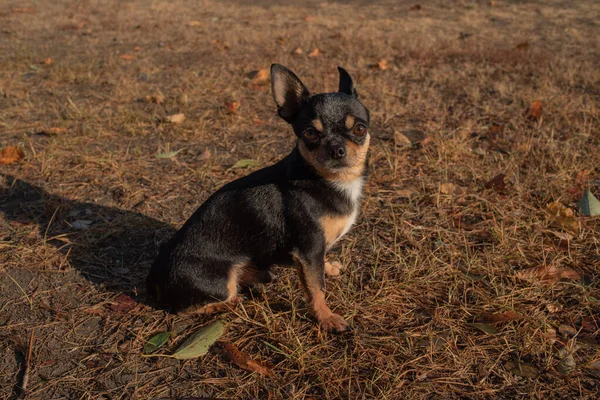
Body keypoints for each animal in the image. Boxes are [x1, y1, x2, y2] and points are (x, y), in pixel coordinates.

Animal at [146, 64, 370, 332]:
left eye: (359, 128)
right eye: (309, 133)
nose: (336, 148)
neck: (328, 179)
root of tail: (155, 277)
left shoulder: (312, 253)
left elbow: (317, 273)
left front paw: (328, 268)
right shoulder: (308, 249)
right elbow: (316, 289)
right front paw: (326, 318)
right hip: (219, 282)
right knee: (185, 308)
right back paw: (229, 302)